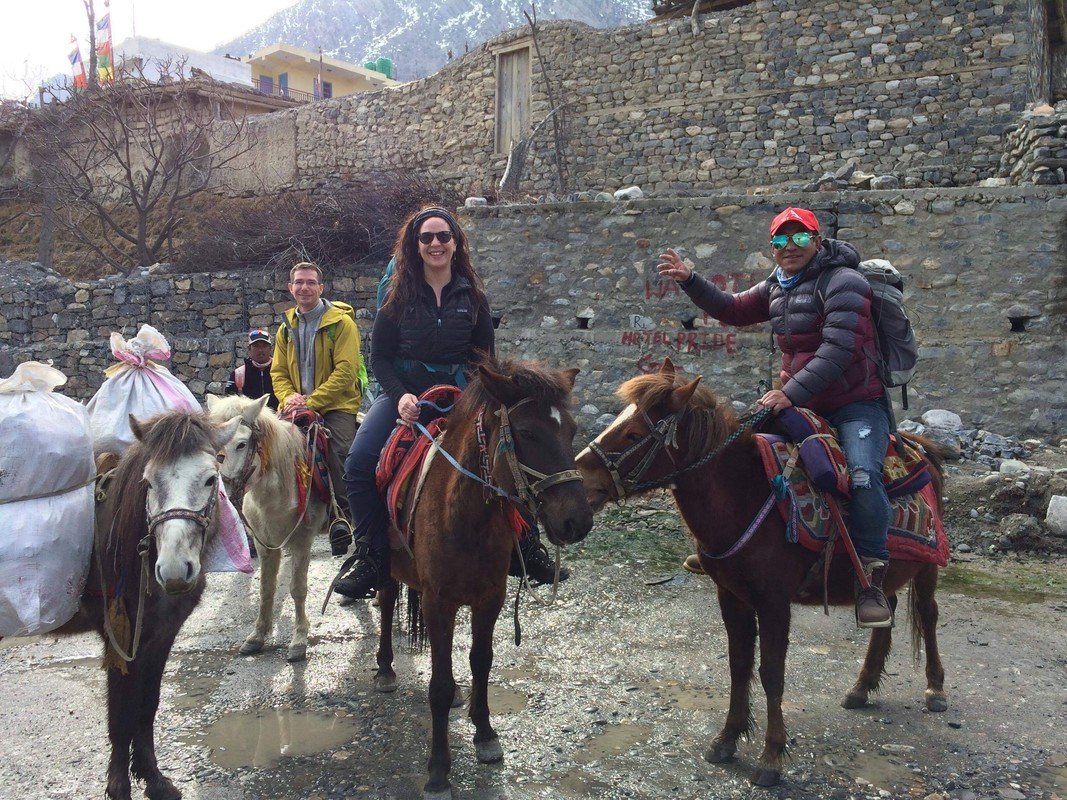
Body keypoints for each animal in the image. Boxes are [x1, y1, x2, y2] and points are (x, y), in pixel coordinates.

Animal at [203, 394, 326, 665]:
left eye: (241, 444)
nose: (223, 492)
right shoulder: (265, 545)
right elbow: (266, 589)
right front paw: (257, 636)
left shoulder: (302, 542)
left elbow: (297, 589)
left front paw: (299, 640)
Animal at [373, 358, 593, 800]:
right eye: (527, 432)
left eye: (572, 430)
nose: (578, 521)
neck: (464, 514)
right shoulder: (439, 601)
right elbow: (438, 685)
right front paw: (438, 771)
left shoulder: (490, 597)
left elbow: (481, 661)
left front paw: (486, 733)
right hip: (389, 570)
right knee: (386, 605)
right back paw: (386, 668)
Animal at [576, 362, 951, 789]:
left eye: (635, 434)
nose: (580, 480)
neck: (745, 495)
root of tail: (922, 448)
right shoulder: (731, 595)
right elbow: (739, 665)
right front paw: (726, 739)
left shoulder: (773, 602)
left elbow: (772, 673)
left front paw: (771, 757)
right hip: (880, 573)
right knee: (883, 611)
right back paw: (861, 687)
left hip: (927, 567)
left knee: (927, 615)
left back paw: (935, 689)